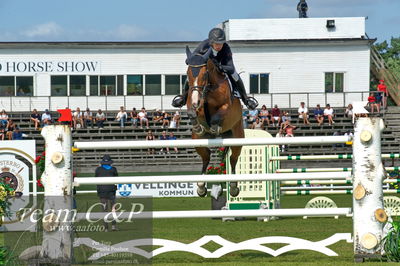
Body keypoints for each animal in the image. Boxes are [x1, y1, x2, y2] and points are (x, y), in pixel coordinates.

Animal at [184, 46, 244, 197]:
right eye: (187, 74)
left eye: (204, 74)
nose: (196, 101)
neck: (208, 89)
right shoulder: (194, 104)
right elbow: (192, 112)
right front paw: (199, 127)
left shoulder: (226, 106)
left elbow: (218, 115)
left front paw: (214, 127)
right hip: (197, 142)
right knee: (206, 157)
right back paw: (201, 186)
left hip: (237, 137)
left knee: (233, 159)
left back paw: (233, 187)